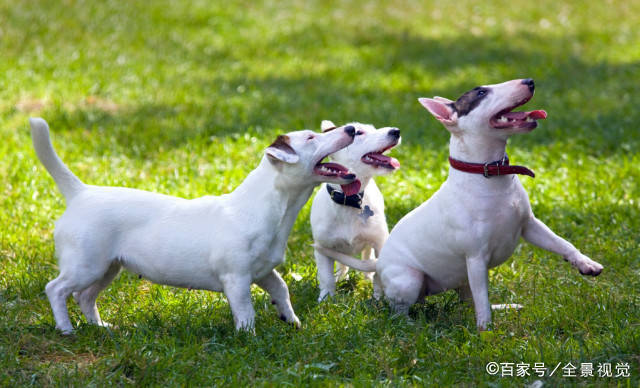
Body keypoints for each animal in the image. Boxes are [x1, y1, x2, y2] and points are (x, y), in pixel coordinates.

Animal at [30, 116, 358, 332]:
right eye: (311, 138)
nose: (352, 129)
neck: (272, 208)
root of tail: (80, 193)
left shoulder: (264, 271)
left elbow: (282, 289)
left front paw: (292, 320)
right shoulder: (236, 278)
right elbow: (246, 310)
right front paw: (248, 337)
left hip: (107, 267)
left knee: (85, 296)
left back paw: (100, 327)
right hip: (86, 265)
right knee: (56, 289)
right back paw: (66, 329)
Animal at [310, 119, 400, 302]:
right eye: (358, 133)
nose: (396, 131)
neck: (349, 201)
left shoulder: (380, 242)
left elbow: (378, 272)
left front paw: (378, 298)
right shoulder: (322, 247)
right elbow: (326, 277)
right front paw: (326, 300)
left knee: (367, 258)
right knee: (342, 265)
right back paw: (341, 277)